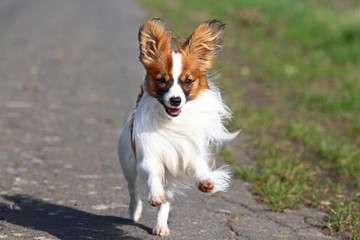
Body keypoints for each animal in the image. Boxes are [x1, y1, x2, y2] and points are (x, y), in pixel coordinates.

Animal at [116, 19, 238, 236]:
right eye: (161, 80)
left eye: (187, 81)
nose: (175, 100)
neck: (172, 121)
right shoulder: (148, 157)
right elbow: (152, 176)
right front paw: (155, 195)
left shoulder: (189, 155)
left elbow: (198, 169)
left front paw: (206, 182)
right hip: (127, 161)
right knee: (133, 189)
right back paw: (135, 211)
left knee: (166, 203)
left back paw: (161, 226)